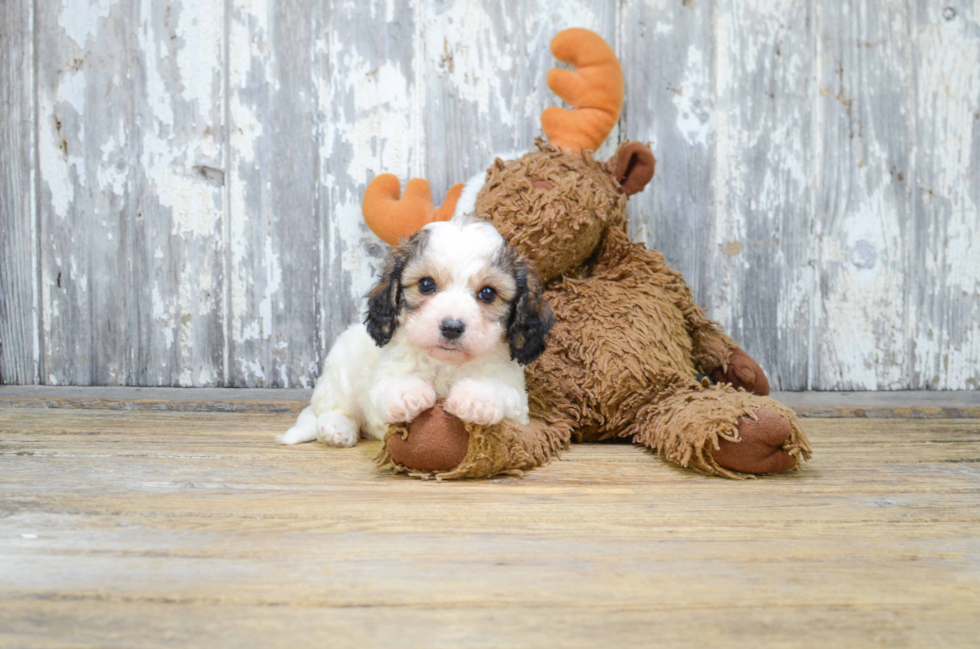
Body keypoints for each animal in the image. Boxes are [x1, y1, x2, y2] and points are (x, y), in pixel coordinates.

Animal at [276, 215, 552, 448]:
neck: (445, 363)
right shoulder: (382, 380)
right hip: (341, 372)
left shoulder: (517, 400)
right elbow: (387, 387)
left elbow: (501, 390)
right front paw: (407, 393)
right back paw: (337, 428)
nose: (452, 327)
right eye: (426, 284)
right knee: (327, 409)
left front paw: (476, 398)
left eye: (488, 293)